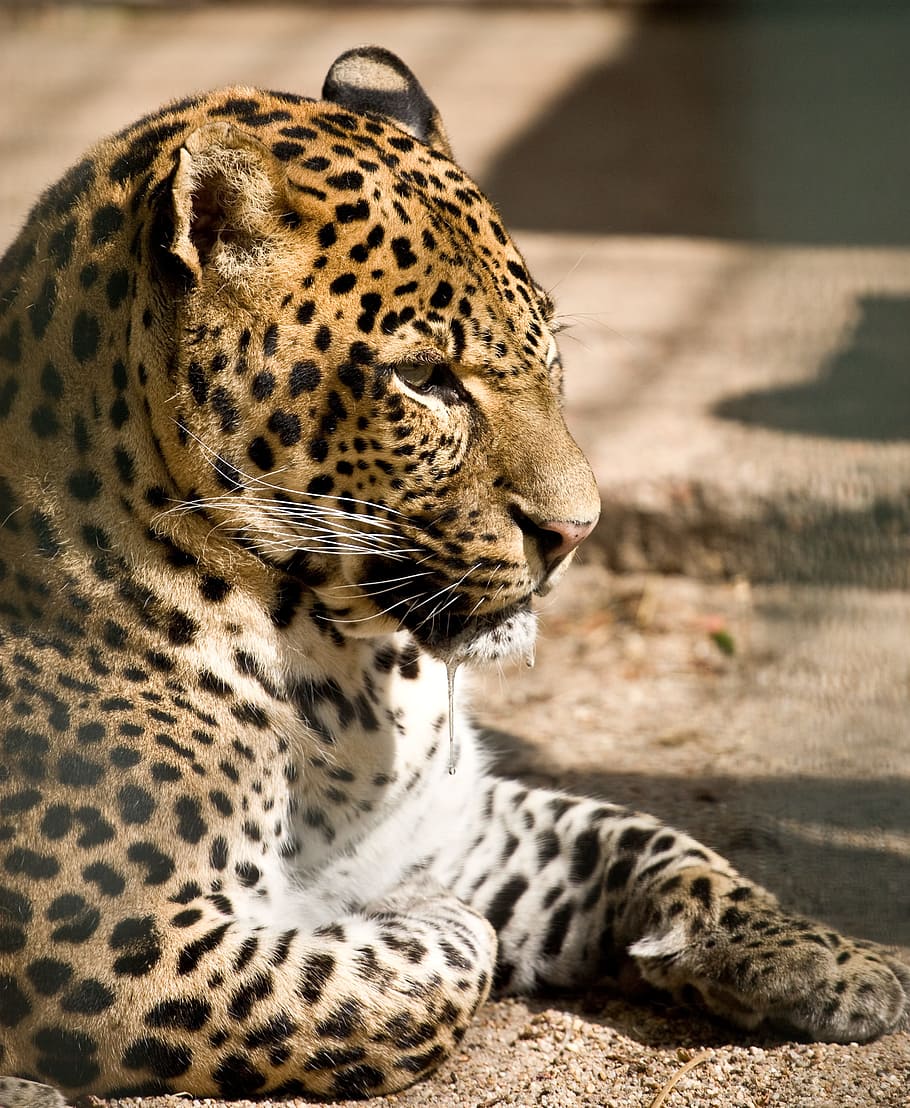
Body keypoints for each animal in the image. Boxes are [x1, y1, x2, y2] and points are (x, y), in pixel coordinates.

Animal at [0, 45, 907, 1106]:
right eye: (425, 379)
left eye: (550, 352)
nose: (575, 531)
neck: (345, 677)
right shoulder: (101, 946)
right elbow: (424, 973)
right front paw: (417, 915)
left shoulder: (452, 818)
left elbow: (647, 837)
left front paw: (832, 961)